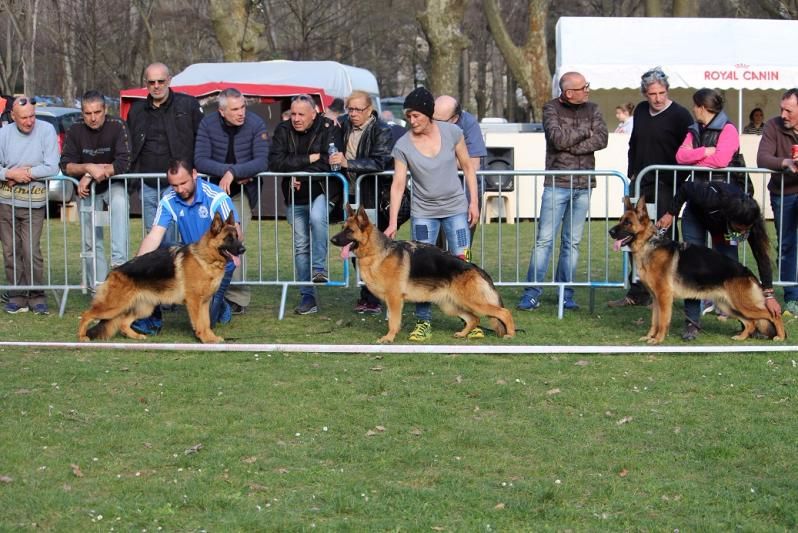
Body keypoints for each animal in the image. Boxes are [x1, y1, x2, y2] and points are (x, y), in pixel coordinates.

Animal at [79, 210, 247, 342]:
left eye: (237, 236)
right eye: (229, 238)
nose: (243, 249)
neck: (206, 259)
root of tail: (113, 272)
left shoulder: (204, 302)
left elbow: (205, 322)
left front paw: (210, 338)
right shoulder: (195, 302)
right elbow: (200, 322)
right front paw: (205, 339)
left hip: (144, 308)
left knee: (123, 323)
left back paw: (137, 336)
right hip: (113, 306)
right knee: (86, 314)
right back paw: (82, 337)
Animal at [328, 206, 516, 342]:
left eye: (349, 230)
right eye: (342, 228)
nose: (332, 240)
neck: (376, 252)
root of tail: (475, 268)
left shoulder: (394, 299)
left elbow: (393, 322)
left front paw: (389, 338)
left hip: (473, 302)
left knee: (504, 312)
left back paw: (511, 334)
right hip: (450, 305)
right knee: (474, 319)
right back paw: (462, 334)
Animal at [612, 197, 788, 342]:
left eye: (627, 222)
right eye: (620, 220)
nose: (610, 231)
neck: (649, 244)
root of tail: (748, 273)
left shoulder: (664, 297)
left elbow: (662, 321)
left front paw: (658, 340)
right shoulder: (656, 298)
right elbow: (654, 321)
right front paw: (649, 336)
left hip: (742, 304)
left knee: (772, 314)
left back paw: (780, 336)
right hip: (728, 305)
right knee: (750, 323)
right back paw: (741, 337)